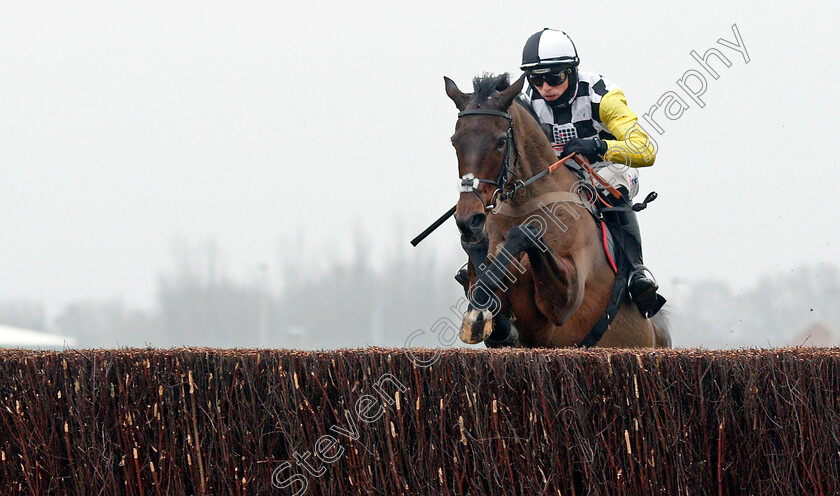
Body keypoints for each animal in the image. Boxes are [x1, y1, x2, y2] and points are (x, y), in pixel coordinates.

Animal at [446, 72, 668, 348]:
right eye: (455, 142)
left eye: (500, 141)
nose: (469, 219)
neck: (525, 203)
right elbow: (489, 297)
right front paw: (480, 305)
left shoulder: (563, 303)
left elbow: (524, 233)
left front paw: (477, 311)